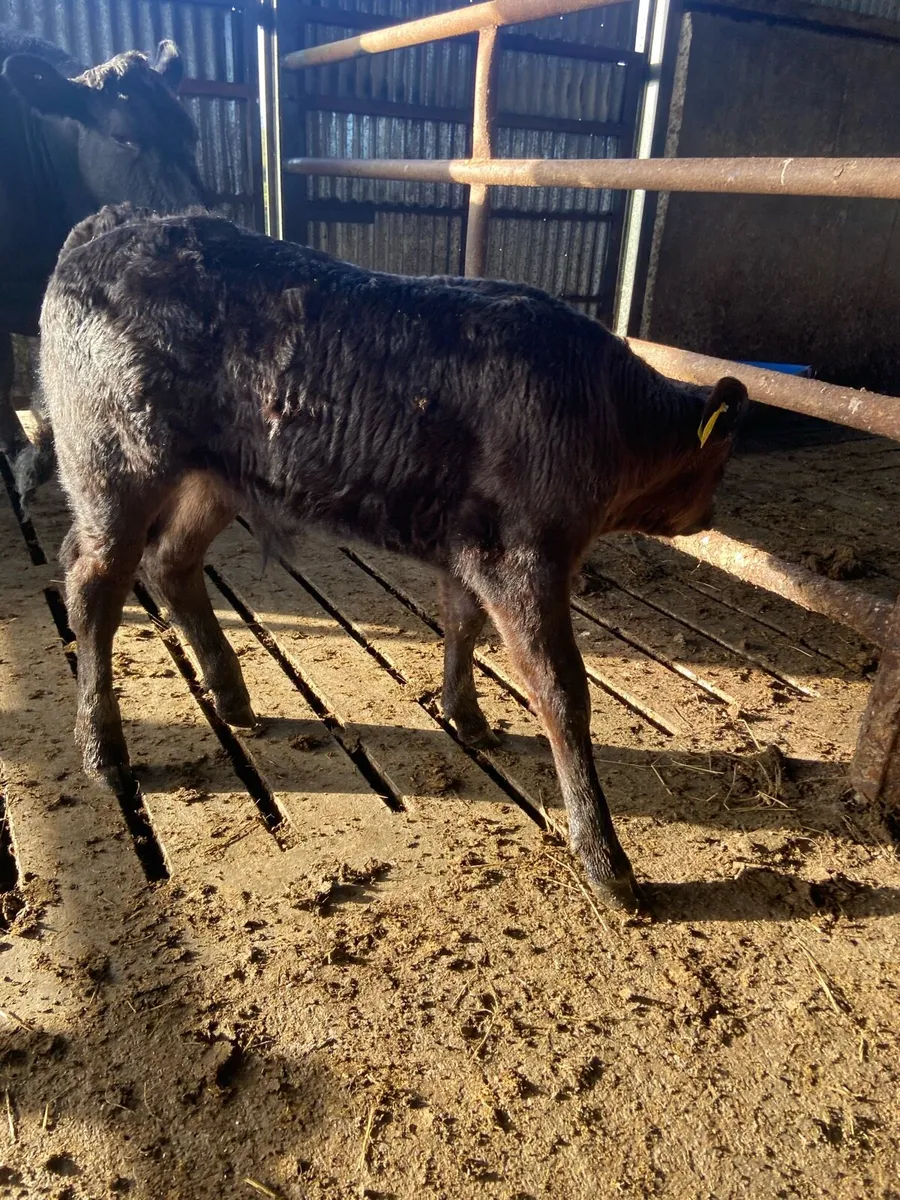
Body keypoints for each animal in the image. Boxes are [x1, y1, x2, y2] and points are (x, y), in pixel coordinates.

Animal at [40, 205, 749, 913]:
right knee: (93, 585)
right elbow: (560, 690)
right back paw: (104, 753)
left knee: (171, 564)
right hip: (115, 466)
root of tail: (116, 226)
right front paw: (605, 860)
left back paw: (233, 699)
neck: (604, 407)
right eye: (719, 462)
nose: (711, 514)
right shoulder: (523, 557)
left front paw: (467, 716)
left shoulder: (469, 546)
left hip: (211, 479)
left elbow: (463, 623)